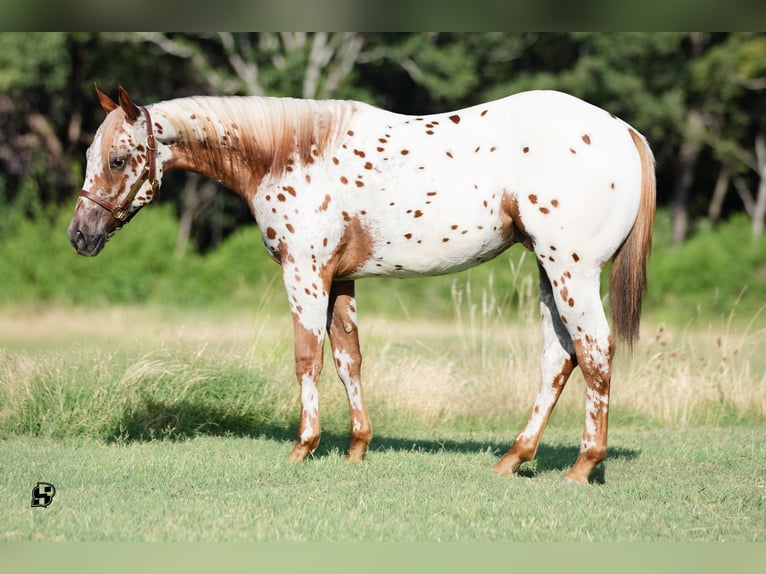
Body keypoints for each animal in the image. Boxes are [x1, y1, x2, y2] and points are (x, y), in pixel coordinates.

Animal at [69, 85, 656, 486]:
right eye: (90, 157)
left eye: (117, 159)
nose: (80, 235)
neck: (290, 152)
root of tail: (621, 130)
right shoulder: (340, 280)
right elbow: (348, 358)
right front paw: (356, 448)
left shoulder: (305, 273)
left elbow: (307, 358)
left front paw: (303, 448)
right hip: (548, 272)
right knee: (559, 358)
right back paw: (514, 458)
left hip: (572, 271)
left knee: (594, 351)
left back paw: (582, 466)